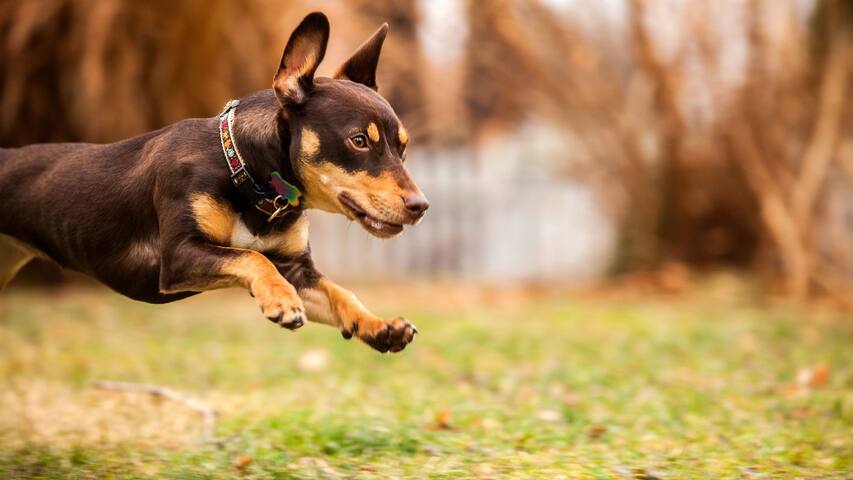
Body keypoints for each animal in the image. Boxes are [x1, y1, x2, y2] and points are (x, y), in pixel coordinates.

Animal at [0, 13, 426, 354]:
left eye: (403, 147)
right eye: (359, 141)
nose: (420, 206)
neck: (244, 173)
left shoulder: (296, 268)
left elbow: (338, 291)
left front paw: (377, 326)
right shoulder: (179, 256)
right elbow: (251, 258)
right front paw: (281, 302)